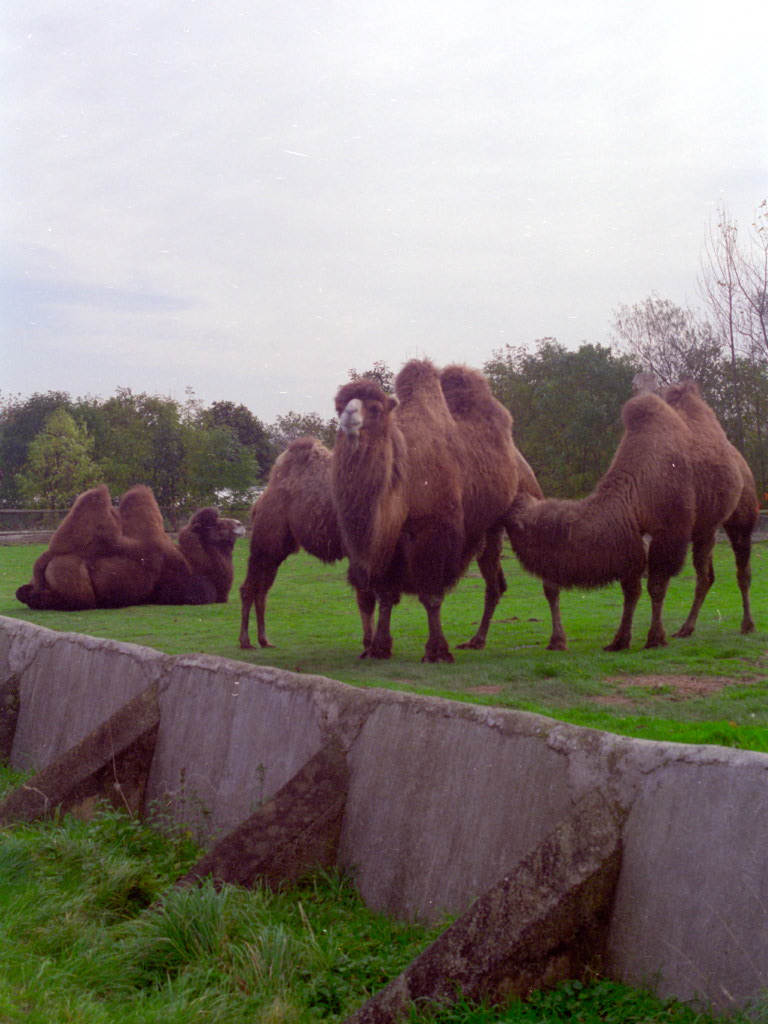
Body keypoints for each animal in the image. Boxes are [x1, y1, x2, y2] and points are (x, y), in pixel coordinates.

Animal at [15, 485, 245, 610]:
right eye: (214, 525)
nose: (239, 524)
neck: (195, 562)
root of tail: (46, 559)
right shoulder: (190, 592)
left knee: (23, 593)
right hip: (75, 583)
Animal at [332, 359, 521, 662]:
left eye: (376, 408)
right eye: (338, 406)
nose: (349, 418)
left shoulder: (435, 531)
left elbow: (431, 596)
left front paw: (436, 651)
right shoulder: (392, 540)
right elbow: (386, 596)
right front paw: (379, 647)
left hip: (506, 513)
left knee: (497, 582)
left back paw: (482, 640)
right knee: (495, 580)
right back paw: (477, 640)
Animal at [506, 391, 699, 651]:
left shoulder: (667, 535)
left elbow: (656, 587)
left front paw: (655, 638)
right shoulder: (631, 551)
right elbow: (633, 592)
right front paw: (621, 640)